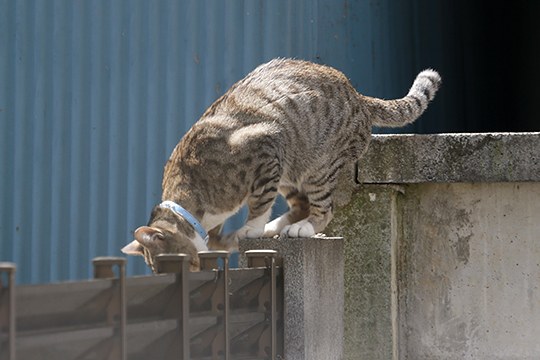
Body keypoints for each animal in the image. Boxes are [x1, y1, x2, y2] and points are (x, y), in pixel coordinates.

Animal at [121, 57, 438, 272]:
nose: (193, 273)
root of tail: (357, 95)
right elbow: (219, 237)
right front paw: (229, 239)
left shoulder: (264, 146)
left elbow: (259, 201)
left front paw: (250, 228)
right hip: (289, 170)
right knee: (300, 204)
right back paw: (276, 226)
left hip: (316, 164)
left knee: (322, 208)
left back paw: (301, 228)